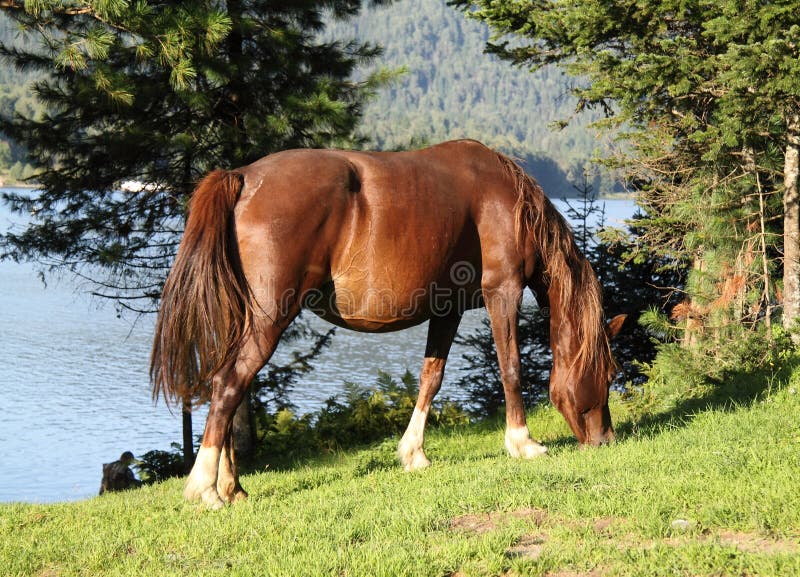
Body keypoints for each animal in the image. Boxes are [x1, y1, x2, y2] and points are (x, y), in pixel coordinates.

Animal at [150, 140, 624, 508]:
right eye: (609, 373)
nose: (606, 440)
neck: (506, 199)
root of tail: (243, 177)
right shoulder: (502, 292)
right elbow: (511, 369)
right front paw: (523, 443)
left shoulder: (447, 309)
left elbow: (431, 377)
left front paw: (414, 454)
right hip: (270, 318)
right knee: (230, 383)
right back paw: (206, 489)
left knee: (229, 386)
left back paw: (231, 486)